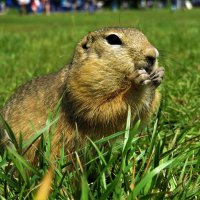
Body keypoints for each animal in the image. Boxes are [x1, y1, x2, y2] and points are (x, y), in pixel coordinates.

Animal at [0, 27, 164, 162]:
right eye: (113, 39)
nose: (153, 54)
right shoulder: (79, 90)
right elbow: (99, 111)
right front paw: (138, 83)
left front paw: (159, 75)